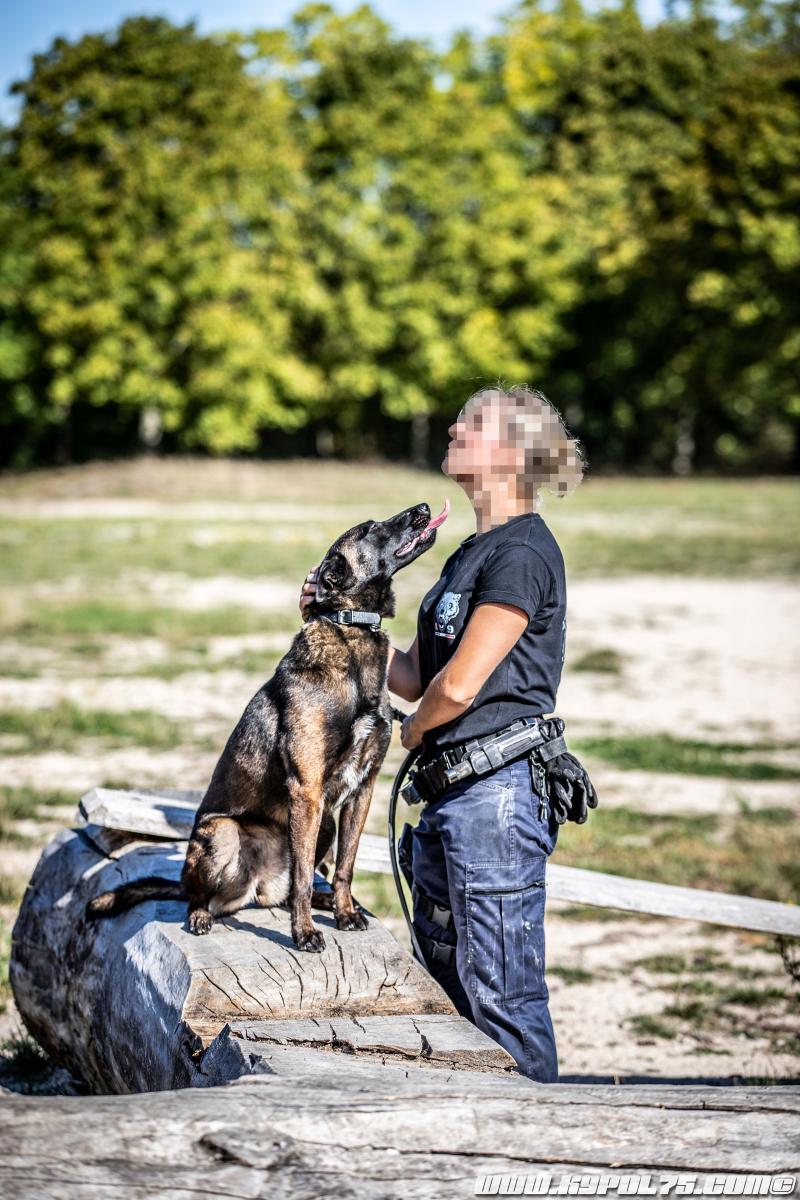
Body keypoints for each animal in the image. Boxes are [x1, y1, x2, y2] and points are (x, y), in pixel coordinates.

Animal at [87, 500, 449, 951]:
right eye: (369, 528)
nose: (423, 507)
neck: (350, 632)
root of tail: (256, 887)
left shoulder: (361, 790)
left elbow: (345, 866)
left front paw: (345, 913)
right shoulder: (307, 790)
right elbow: (303, 880)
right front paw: (304, 932)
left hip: (325, 823)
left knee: (297, 884)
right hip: (223, 832)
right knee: (200, 895)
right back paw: (202, 916)